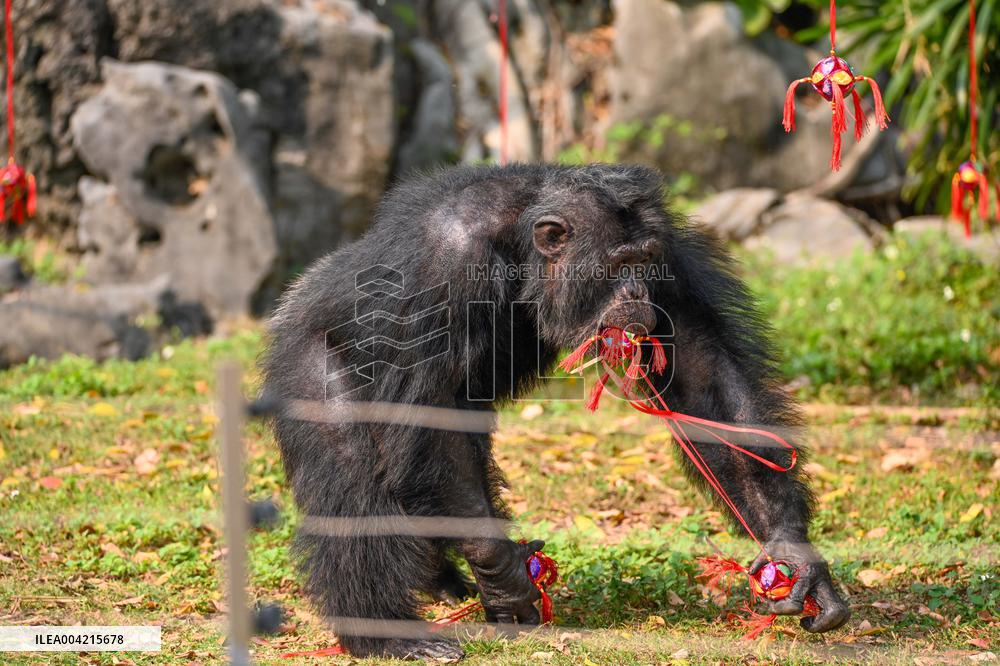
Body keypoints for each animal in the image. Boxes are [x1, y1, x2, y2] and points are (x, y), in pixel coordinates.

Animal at [261, 163, 850, 659]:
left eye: (645, 262)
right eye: (618, 265)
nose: (639, 292)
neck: (521, 244)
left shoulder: (672, 253)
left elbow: (704, 372)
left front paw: (795, 556)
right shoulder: (441, 267)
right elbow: (427, 406)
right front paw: (505, 575)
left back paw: (439, 580)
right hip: (308, 360)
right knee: (352, 484)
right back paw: (385, 633)